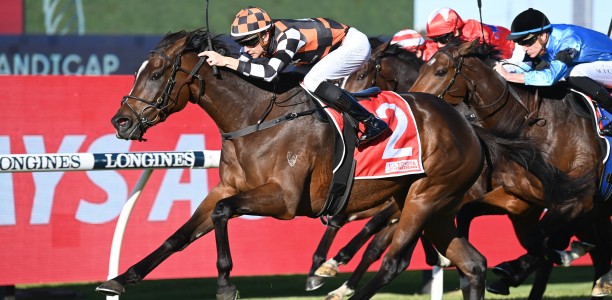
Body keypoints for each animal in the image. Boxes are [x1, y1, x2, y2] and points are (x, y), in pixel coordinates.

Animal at [95, 29, 490, 300]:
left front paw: (224, 284)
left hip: (424, 198)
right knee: (473, 265)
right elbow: (178, 237)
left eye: (157, 74)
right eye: (139, 72)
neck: (255, 118)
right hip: (432, 207)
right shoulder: (226, 187)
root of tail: (465, 124)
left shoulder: (284, 200)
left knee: (394, 261)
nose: (121, 121)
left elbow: (223, 213)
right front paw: (119, 279)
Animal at [408, 38, 608, 298]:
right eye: (422, 67)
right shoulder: (519, 198)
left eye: (441, 71)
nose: (413, 101)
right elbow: (471, 214)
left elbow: (542, 239)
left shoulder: (577, 201)